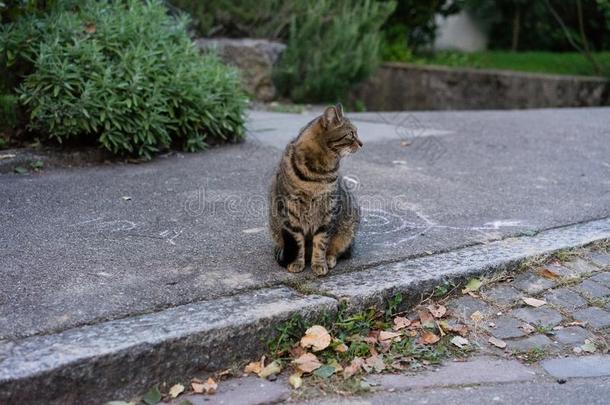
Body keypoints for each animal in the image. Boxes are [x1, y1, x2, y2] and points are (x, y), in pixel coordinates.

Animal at [268, 102, 360, 276]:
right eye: (351, 134)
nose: (361, 143)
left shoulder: (329, 209)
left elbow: (321, 241)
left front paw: (319, 263)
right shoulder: (291, 211)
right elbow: (297, 242)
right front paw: (297, 262)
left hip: (348, 227)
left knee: (336, 249)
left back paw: (329, 259)